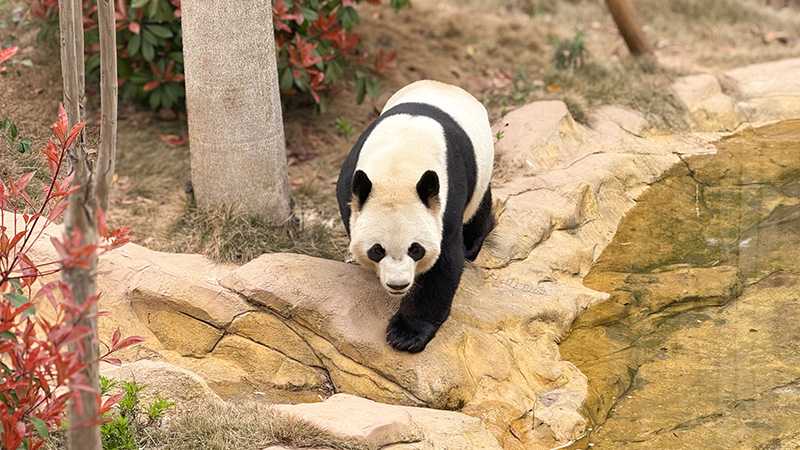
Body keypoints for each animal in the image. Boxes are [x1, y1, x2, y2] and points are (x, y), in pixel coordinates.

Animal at [336, 80, 495, 353]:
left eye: (415, 249)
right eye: (377, 250)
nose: (397, 285)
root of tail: (447, 85)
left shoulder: (445, 199)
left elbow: (442, 265)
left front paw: (406, 334)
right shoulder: (351, 183)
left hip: (481, 169)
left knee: (478, 208)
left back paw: (474, 242)